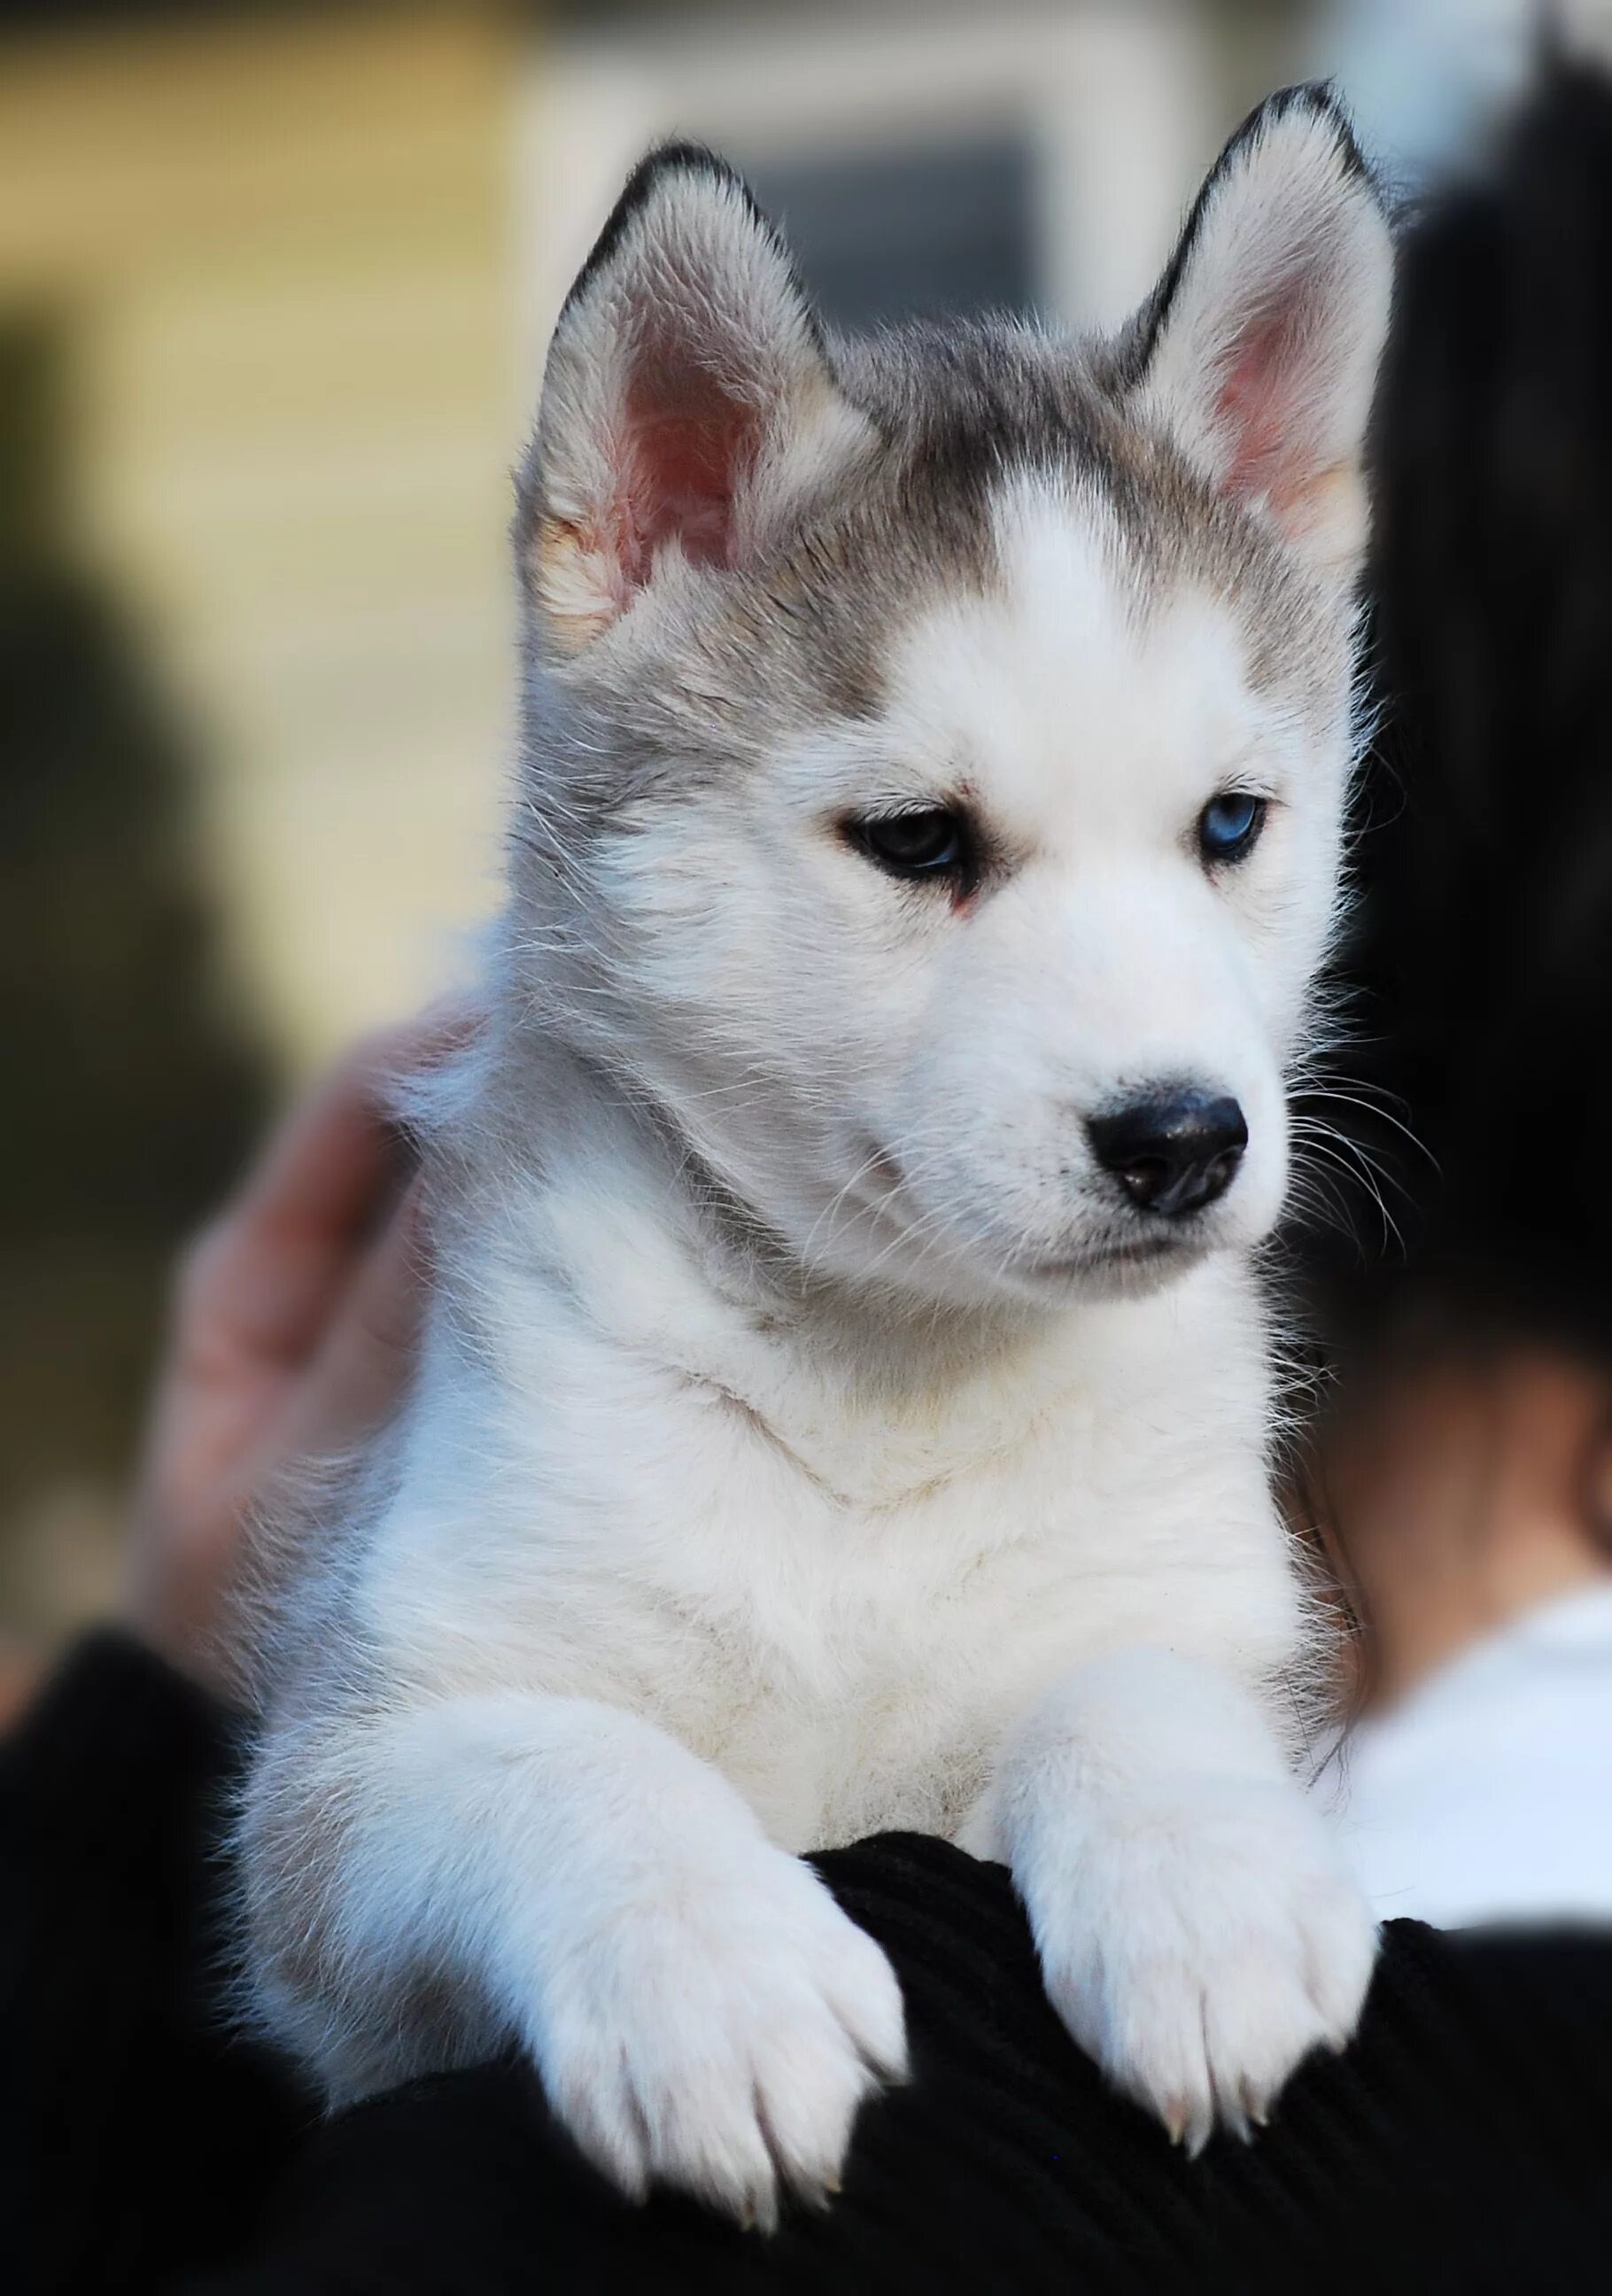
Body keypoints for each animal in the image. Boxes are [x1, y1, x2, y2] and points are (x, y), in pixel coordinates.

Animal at [239, 89, 1405, 2222]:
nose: (1185, 1141)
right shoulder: (353, 1770)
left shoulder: (1209, 1611)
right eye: (918, 840)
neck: (884, 1391)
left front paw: (1207, 1895)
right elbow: (576, 1762)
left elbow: (1130, 1683)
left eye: (1230, 824)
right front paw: (719, 1982)